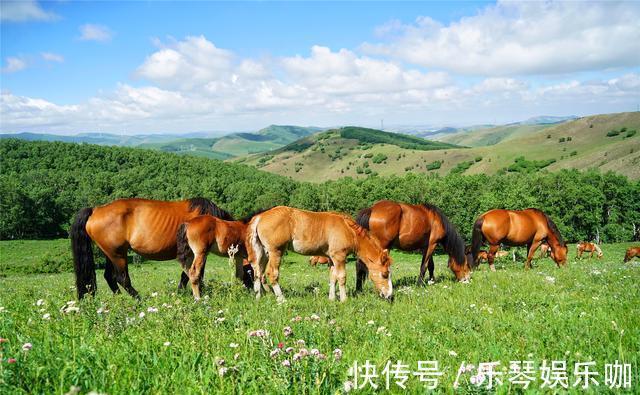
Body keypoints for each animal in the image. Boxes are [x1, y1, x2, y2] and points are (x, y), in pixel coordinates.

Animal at [70, 198, 250, 300]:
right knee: (122, 278)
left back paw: (119, 299)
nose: (249, 291)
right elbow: (192, 274)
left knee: (109, 277)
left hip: (111, 253)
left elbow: (187, 274)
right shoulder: (199, 252)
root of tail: (95, 210)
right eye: (250, 270)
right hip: (118, 255)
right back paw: (139, 299)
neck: (215, 223)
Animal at [246, 207, 392, 304]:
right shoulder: (339, 256)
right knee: (272, 273)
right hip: (276, 251)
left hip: (263, 253)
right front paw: (344, 300)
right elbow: (341, 277)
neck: (348, 230)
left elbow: (333, 278)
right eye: (385, 274)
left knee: (258, 272)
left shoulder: (332, 259)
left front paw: (332, 299)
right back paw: (282, 299)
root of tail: (260, 217)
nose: (390, 296)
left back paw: (258, 297)